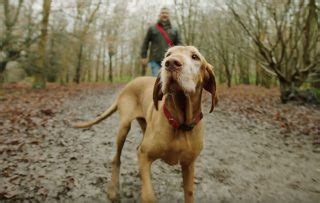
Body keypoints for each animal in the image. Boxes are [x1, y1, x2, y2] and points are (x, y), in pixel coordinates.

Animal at [74, 46, 216, 203]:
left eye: (195, 56)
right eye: (168, 54)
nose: (171, 63)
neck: (180, 124)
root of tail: (131, 82)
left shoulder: (188, 165)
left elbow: (189, 194)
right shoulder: (145, 155)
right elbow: (148, 195)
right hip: (124, 127)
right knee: (116, 158)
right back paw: (113, 190)